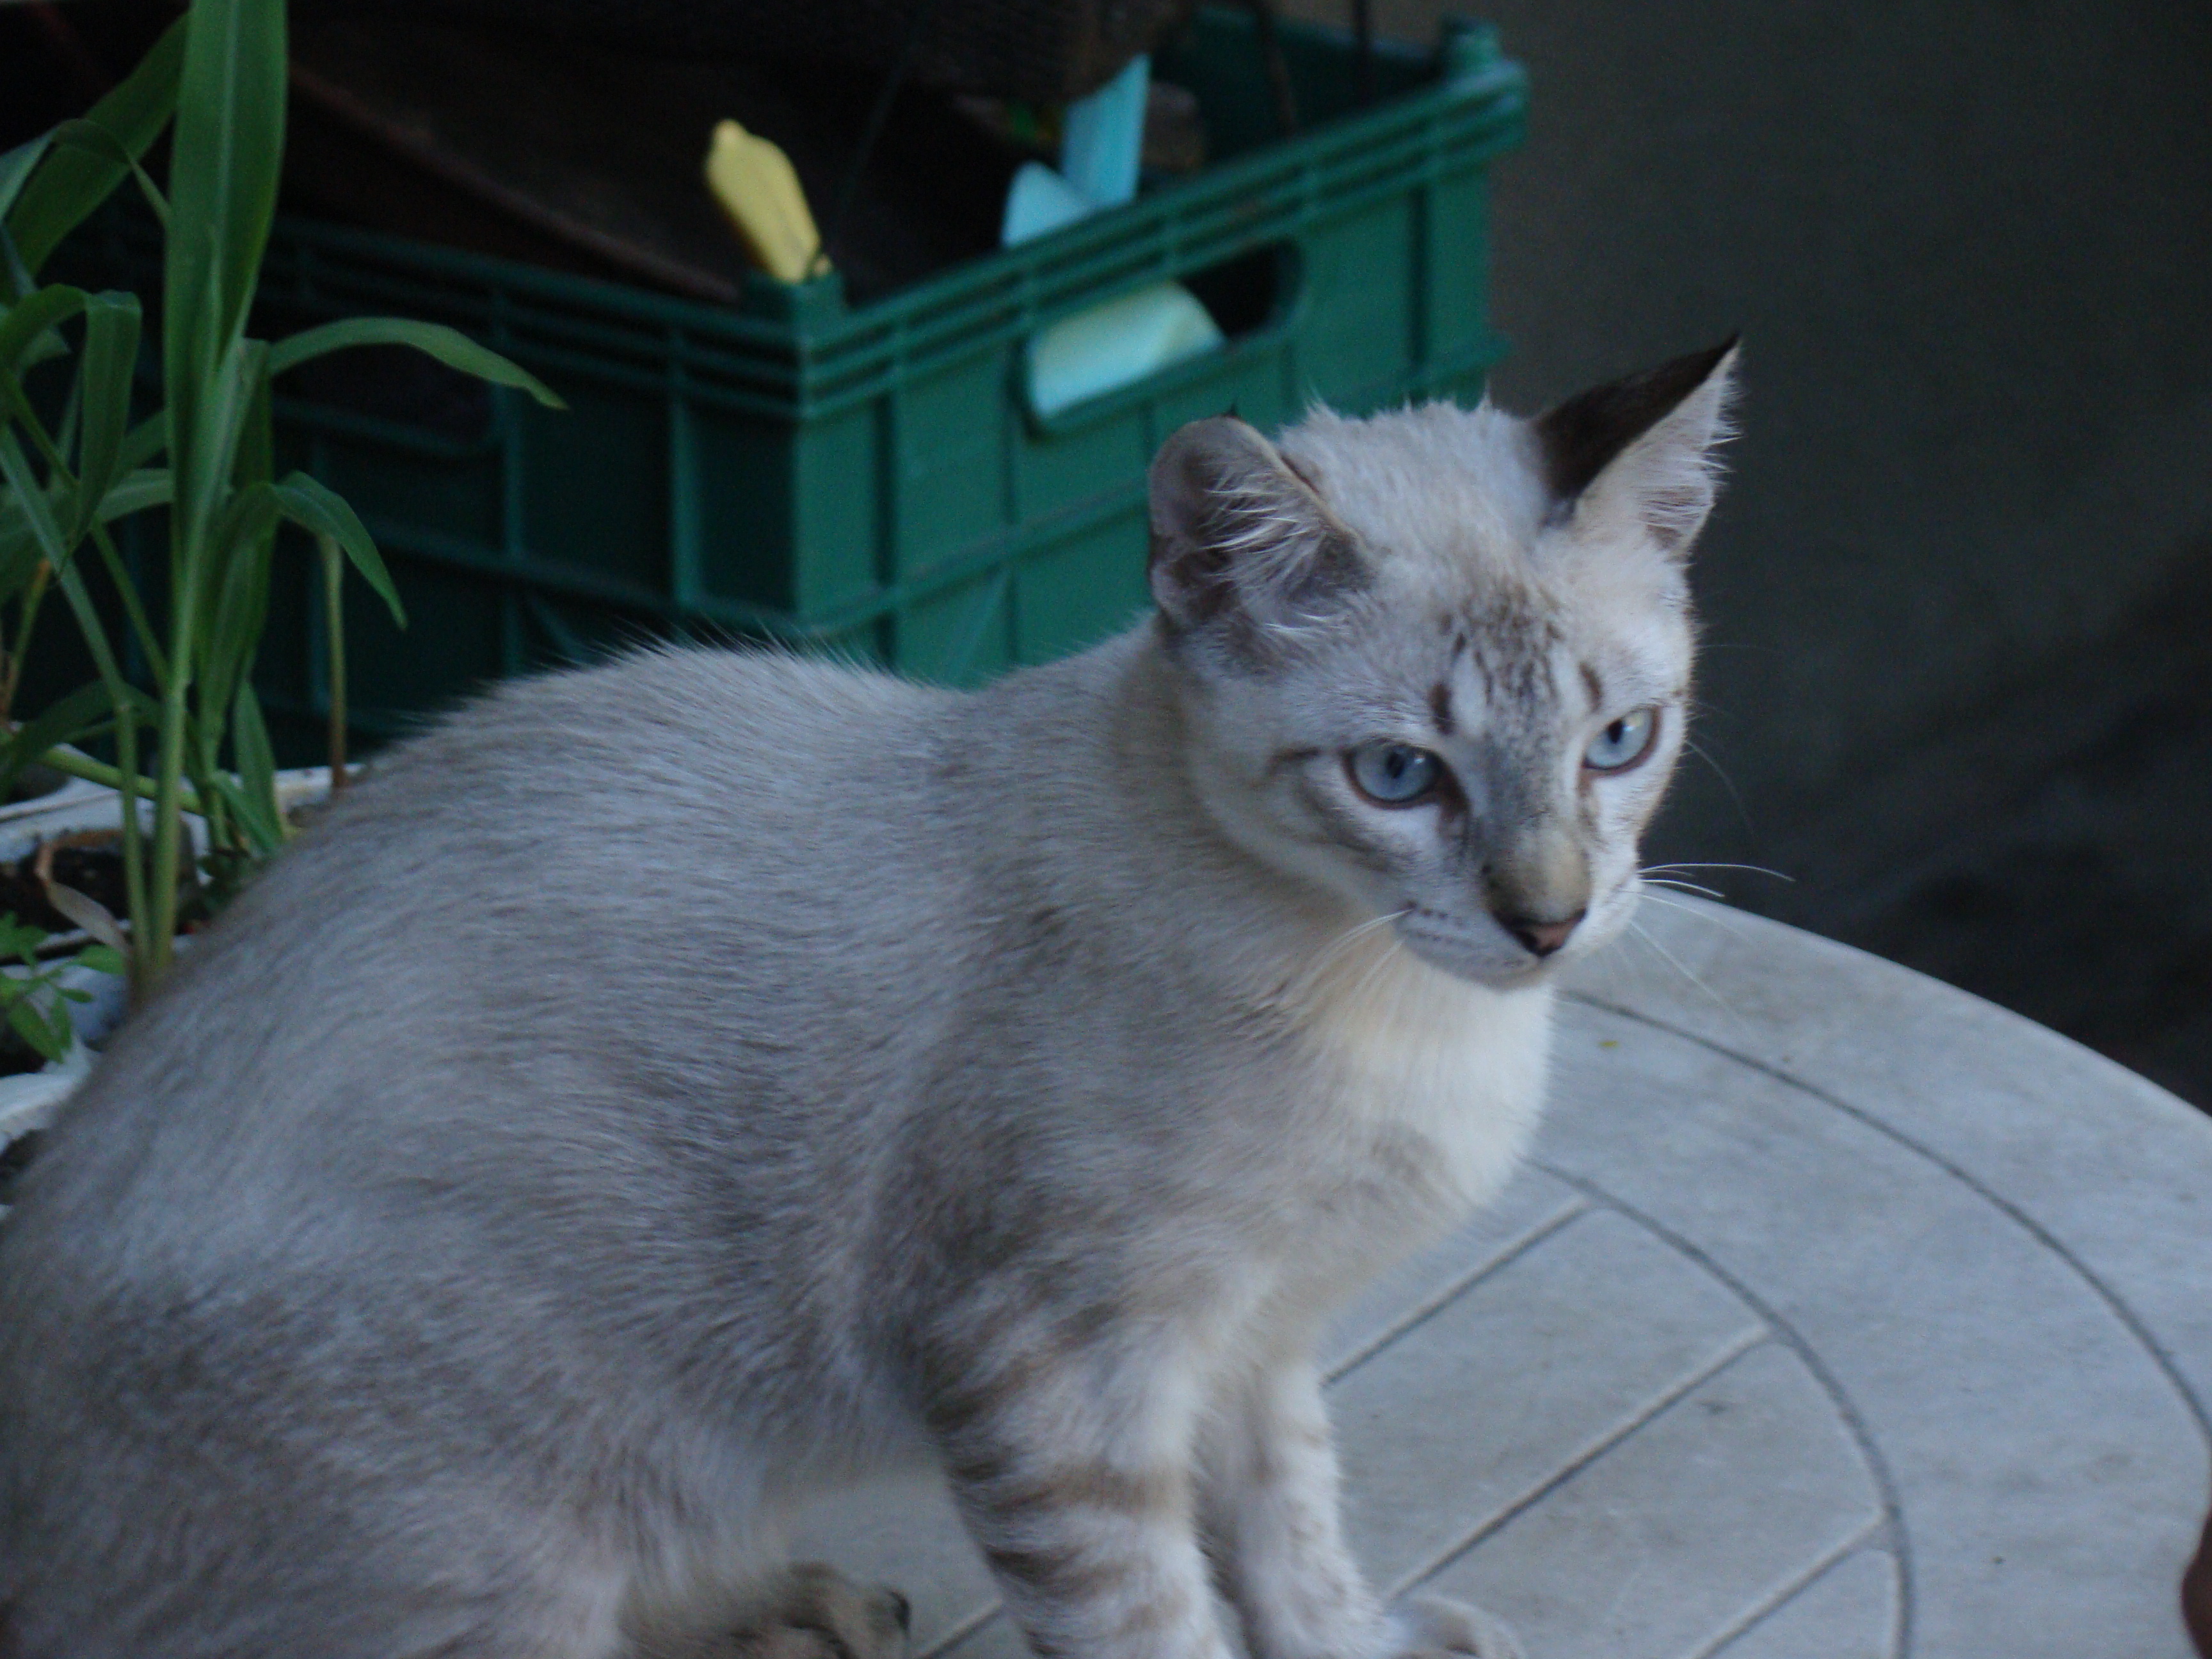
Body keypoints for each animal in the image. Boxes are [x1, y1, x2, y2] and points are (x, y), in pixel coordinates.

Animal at [0, 341, 1734, 1659]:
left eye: (1619, 744)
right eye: (1397, 777)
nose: (1548, 921)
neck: (1403, 1016)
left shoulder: (1257, 1344)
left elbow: (1294, 1543)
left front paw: (1354, 1642)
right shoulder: (1059, 1376)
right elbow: (1158, 1619)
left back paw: (793, 1610)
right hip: (498, 1545)